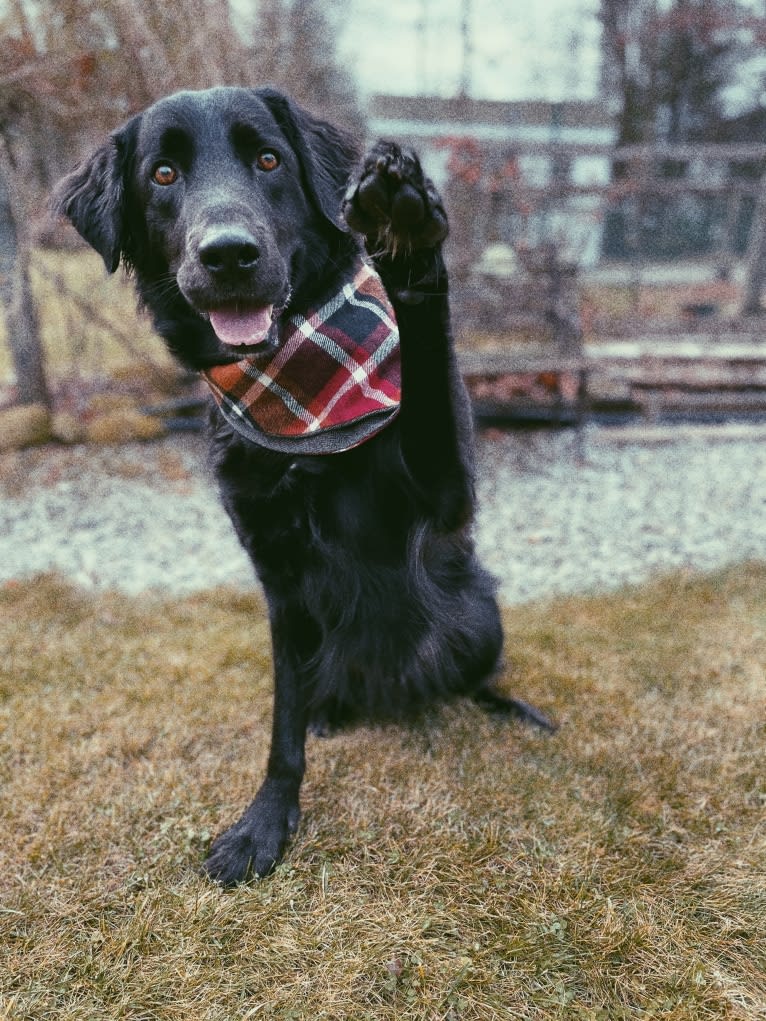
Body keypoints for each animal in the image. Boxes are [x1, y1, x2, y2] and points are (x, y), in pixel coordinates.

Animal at [55, 87, 559, 886]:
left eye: (268, 160)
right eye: (163, 174)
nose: (229, 254)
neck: (297, 385)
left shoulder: (445, 497)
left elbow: (429, 370)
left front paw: (404, 235)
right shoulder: (280, 582)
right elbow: (283, 719)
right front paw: (267, 819)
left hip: (477, 612)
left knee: (472, 674)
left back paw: (509, 708)